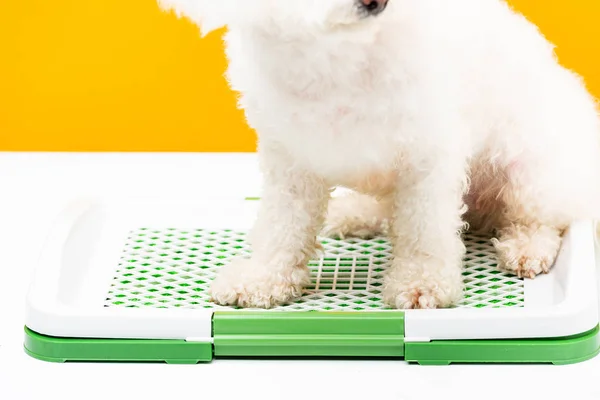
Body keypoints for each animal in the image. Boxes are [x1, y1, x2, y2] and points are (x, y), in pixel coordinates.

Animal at [158, 0, 600, 310]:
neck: (338, 53)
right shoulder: (291, 160)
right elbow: (281, 227)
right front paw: (264, 277)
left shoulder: (427, 155)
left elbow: (424, 231)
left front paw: (421, 282)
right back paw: (355, 213)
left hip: (530, 168)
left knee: (543, 217)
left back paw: (527, 247)